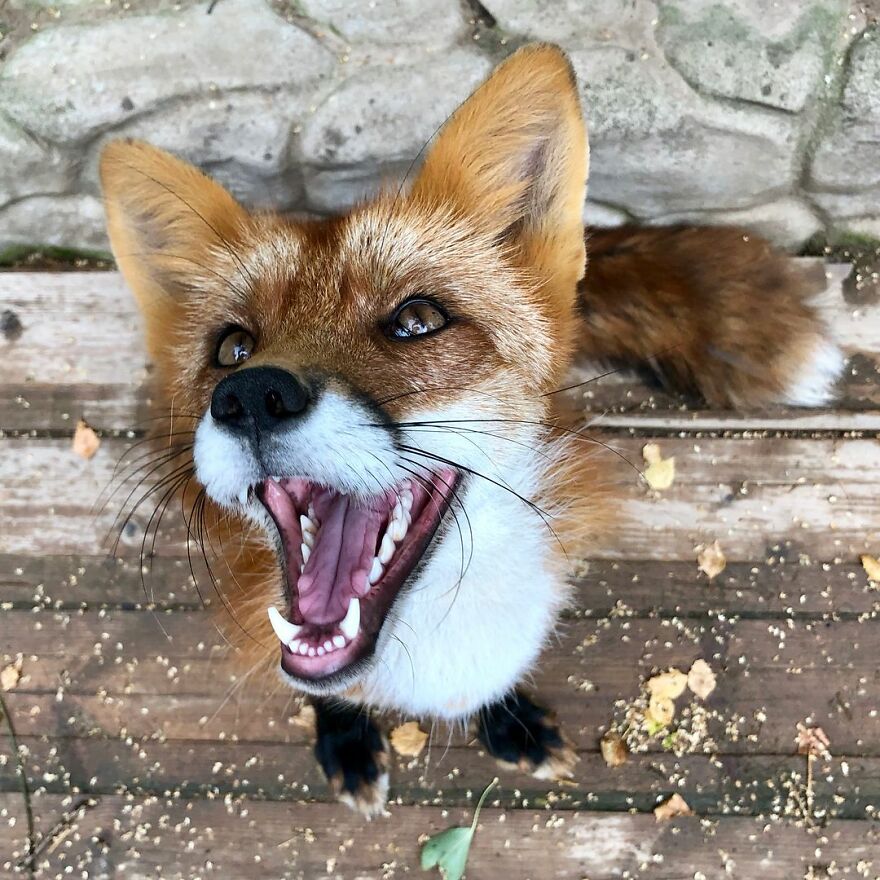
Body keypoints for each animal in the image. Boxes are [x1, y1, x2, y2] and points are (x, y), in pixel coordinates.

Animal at [99, 43, 844, 816]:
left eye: (417, 320)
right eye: (232, 348)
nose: (249, 396)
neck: (430, 643)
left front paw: (509, 723)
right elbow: (328, 695)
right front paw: (345, 740)